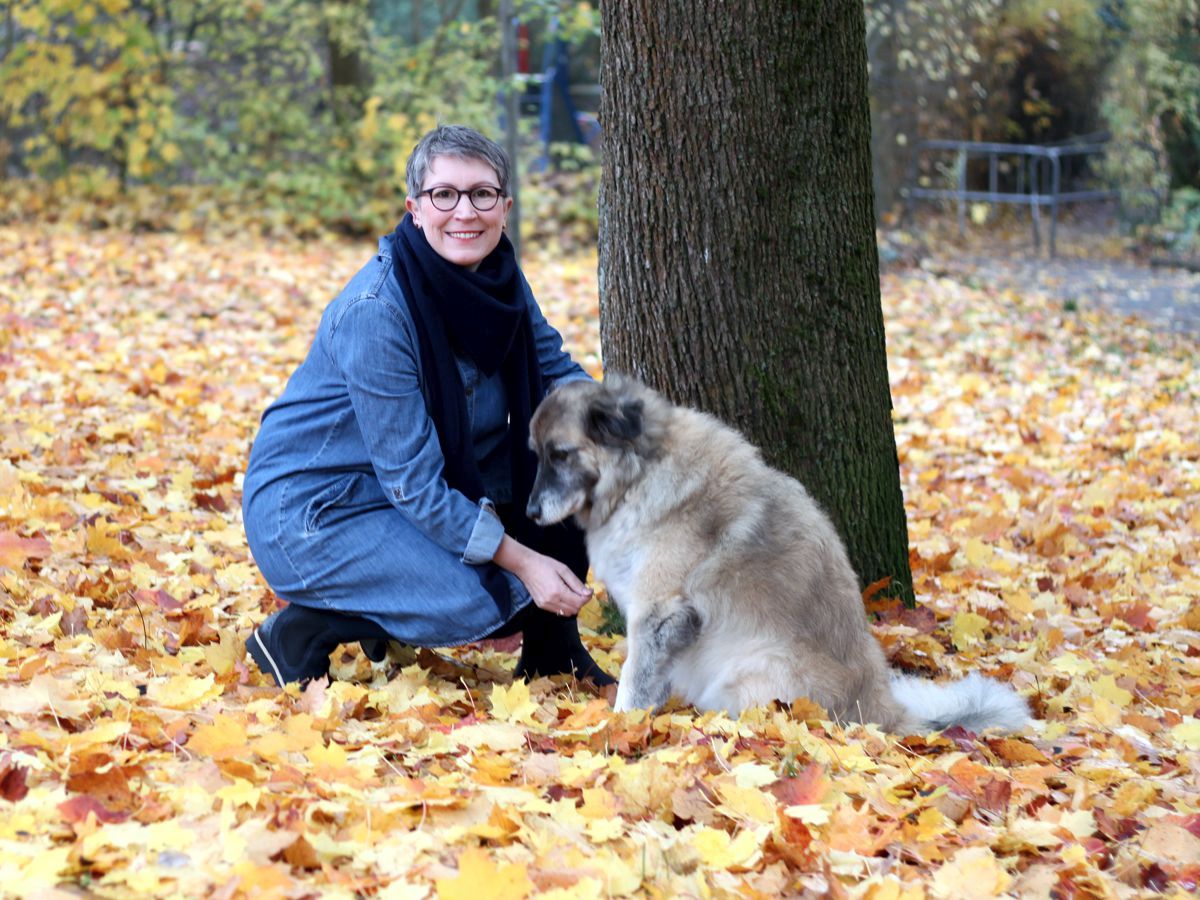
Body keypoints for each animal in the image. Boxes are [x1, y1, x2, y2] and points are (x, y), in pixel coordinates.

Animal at [528, 374, 1032, 734]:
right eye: (538, 454)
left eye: (561, 454)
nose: (530, 513)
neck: (641, 471)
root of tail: (880, 711)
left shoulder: (658, 611)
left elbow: (636, 674)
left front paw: (620, 723)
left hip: (753, 668)